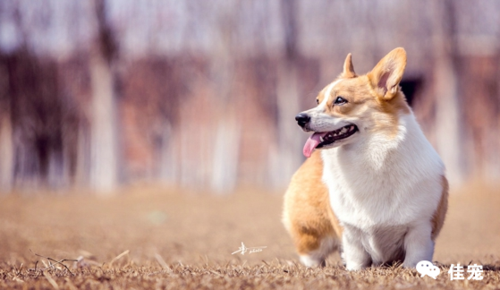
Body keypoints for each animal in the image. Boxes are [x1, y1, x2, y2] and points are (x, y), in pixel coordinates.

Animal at [282, 47, 450, 270]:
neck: (370, 156)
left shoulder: (420, 229)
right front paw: (354, 271)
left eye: (340, 100)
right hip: (312, 235)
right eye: (317, 101)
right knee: (313, 256)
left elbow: (414, 258)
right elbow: (356, 257)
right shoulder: (350, 231)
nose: (299, 118)